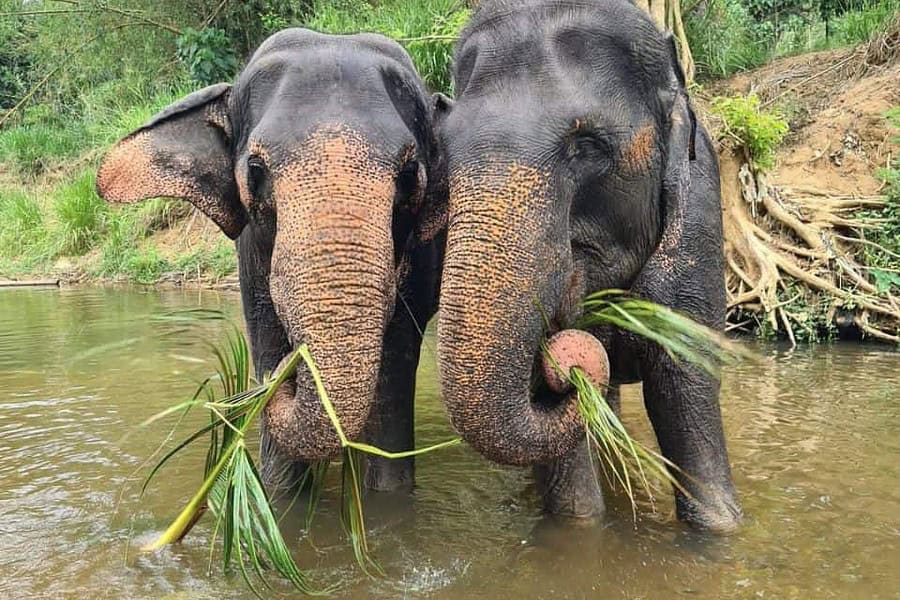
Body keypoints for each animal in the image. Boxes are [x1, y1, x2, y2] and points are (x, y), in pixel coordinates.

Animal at [96, 29, 448, 492]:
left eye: (410, 174)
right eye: (255, 169)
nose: (289, 373)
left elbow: (393, 378)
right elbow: (265, 338)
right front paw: (281, 496)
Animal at [432, 0, 740, 532]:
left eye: (588, 146)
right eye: (443, 157)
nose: (571, 363)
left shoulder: (700, 215)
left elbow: (684, 387)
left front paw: (720, 529)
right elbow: (575, 504)